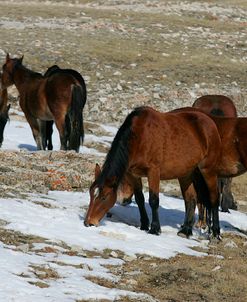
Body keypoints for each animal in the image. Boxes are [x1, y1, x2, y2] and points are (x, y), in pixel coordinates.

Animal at [85, 106, 222, 238]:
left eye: (104, 197)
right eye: (91, 194)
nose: (88, 222)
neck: (139, 137)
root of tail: (209, 122)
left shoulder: (153, 172)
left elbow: (153, 200)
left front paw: (155, 229)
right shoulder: (133, 174)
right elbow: (140, 199)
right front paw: (144, 225)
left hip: (208, 171)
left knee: (214, 198)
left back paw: (216, 232)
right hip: (186, 173)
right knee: (191, 199)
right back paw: (186, 230)